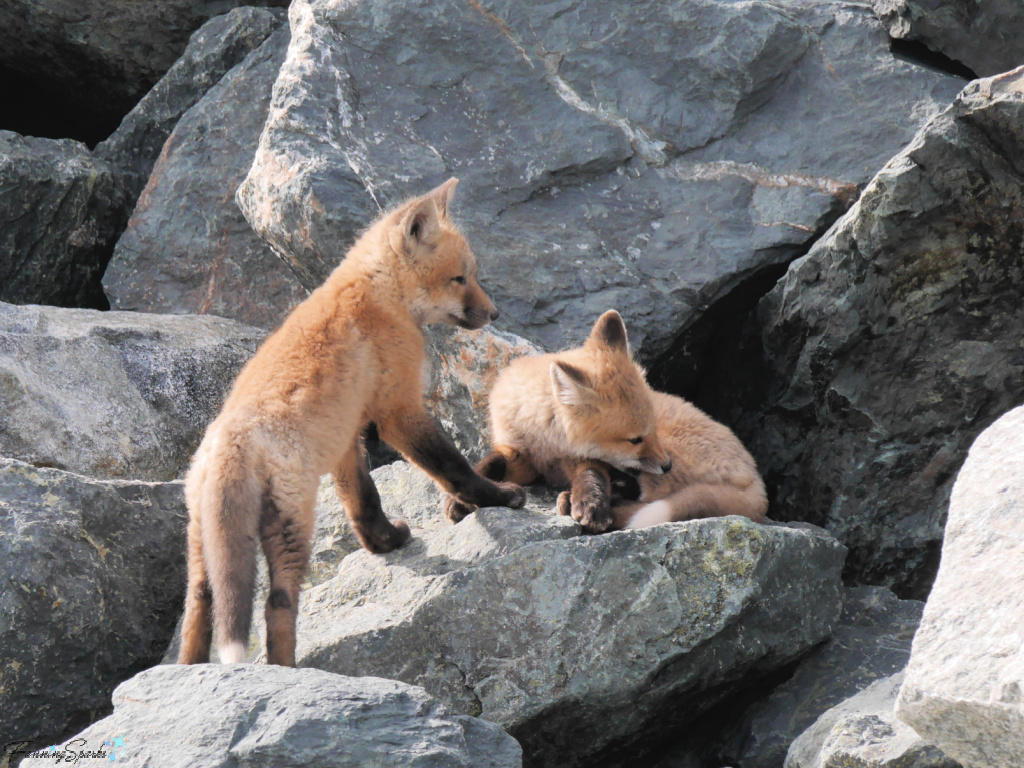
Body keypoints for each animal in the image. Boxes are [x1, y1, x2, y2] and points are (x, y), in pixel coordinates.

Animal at [178, 178, 526, 667]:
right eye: (460, 278)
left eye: (472, 276)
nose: (494, 314)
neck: (380, 291)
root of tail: (231, 440)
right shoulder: (397, 409)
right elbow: (451, 466)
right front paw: (497, 496)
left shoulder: (347, 435)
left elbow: (363, 500)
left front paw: (385, 543)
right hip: (291, 525)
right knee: (277, 603)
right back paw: (286, 669)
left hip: (202, 541)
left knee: (199, 605)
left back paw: (187, 671)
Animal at [442, 310, 767, 532]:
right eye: (635, 439)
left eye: (650, 431)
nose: (667, 465)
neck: (549, 443)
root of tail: (758, 481)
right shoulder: (520, 455)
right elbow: (489, 464)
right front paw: (462, 497)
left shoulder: (583, 458)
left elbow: (592, 474)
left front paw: (592, 504)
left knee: (646, 501)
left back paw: (580, 502)